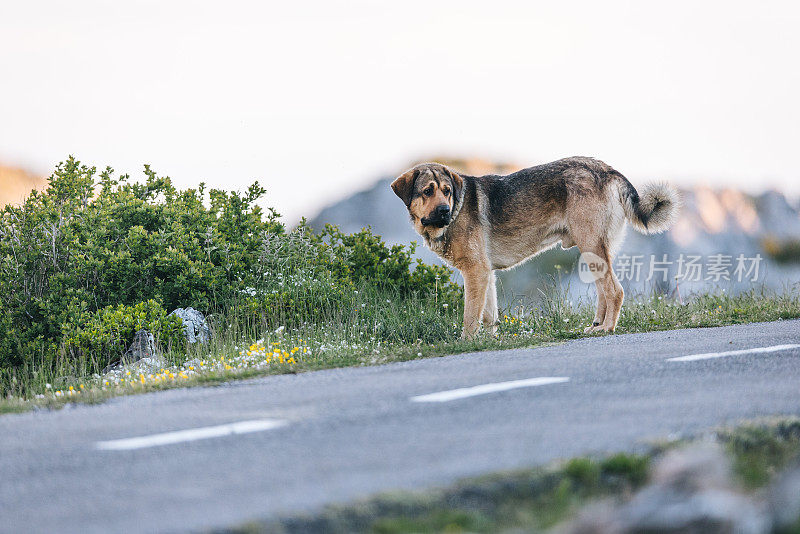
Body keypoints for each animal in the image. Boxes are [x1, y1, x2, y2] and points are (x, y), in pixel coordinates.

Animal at [390, 157, 680, 340]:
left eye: (447, 191)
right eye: (427, 191)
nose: (444, 211)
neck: (457, 210)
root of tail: (609, 170)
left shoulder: (475, 272)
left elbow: (470, 316)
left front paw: (465, 342)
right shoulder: (485, 274)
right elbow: (489, 316)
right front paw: (487, 342)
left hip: (591, 246)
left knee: (615, 291)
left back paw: (607, 328)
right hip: (593, 251)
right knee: (604, 291)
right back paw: (596, 324)